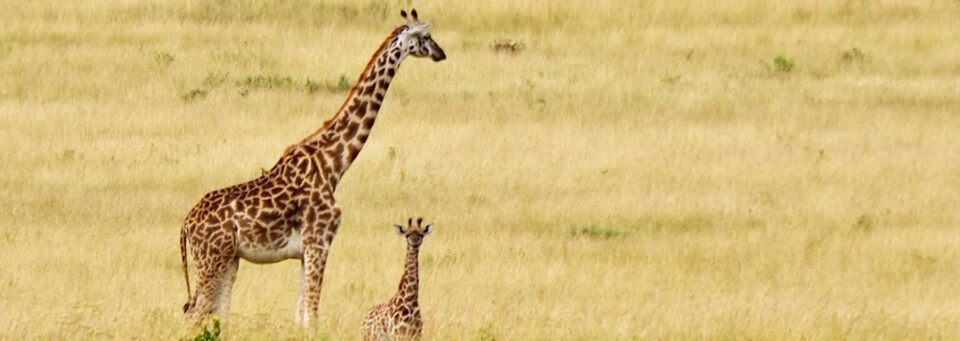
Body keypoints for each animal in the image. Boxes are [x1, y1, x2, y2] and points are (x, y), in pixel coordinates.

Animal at [180, 9, 446, 326]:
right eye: (426, 37)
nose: (441, 53)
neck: (333, 164)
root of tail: (186, 224)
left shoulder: (305, 252)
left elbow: (300, 316)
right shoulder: (319, 241)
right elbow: (312, 316)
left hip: (228, 260)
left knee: (217, 313)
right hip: (212, 259)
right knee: (196, 315)